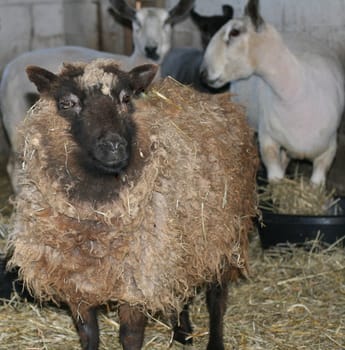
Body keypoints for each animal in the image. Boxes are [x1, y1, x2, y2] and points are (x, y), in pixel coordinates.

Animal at [7, 58, 258, 348]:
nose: (114, 145)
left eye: (126, 98)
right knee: (181, 288)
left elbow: (130, 336)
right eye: (67, 103)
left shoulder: (137, 280)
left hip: (224, 235)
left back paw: (214, 340)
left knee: (216, 299)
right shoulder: (77, 282)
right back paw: (182, 332)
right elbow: (88, 333)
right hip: (180, 245)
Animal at [199, 0, 344, 186]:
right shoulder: (268, 140)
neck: (295, 94)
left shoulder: (328, 151)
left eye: (234, 32)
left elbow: (316, 183)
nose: (203, 74)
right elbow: (276, 179)